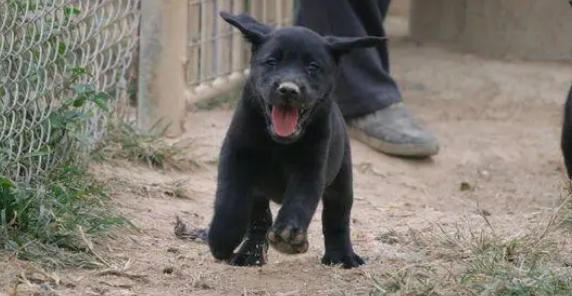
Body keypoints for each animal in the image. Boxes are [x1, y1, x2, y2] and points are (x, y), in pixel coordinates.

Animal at [206, 10, 384, 268]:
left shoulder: (311, 168)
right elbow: (229, 199)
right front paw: (221, 238)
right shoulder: (236, 155)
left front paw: (289, 235)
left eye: (313, 67)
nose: (288, 89)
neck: (277, 144)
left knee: (337, 217)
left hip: (342, 177)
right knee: (259, 219)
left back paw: (342, 256)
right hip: (258, 192)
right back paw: (249, 255)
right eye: (272, 62)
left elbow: (300, 201)